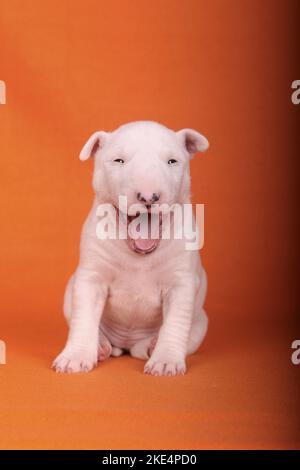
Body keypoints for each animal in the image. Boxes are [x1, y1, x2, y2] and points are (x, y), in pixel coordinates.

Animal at [52, 122, 209, 378]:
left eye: (172, 161)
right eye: (119, 160)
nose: (148, 196)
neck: (139, 256)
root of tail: (126, 345)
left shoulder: (181, 284)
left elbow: (175, 323)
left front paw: (165, 360)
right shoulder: (90, 279)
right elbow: (83, 319)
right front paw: (75, 356)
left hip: (201, 321)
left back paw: (152, 347)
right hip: (69, 293)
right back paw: (101, 346)